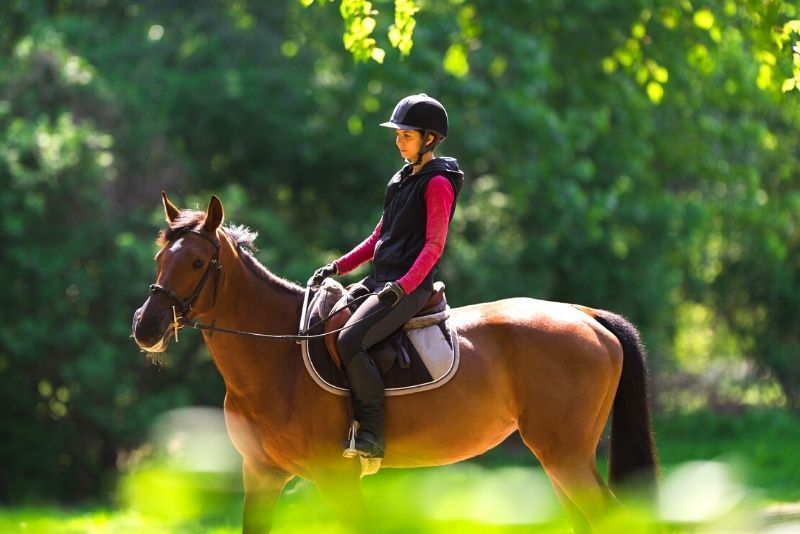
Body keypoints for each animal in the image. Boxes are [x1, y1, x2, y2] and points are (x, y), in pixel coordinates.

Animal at [132, 192, 658, 532]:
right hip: (559, 458)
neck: (277, 360)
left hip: (565, 455)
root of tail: (585, 315)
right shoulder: (261, 474)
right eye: (160, 258)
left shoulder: (336, 478)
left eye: (198, 262)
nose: (146, 327)